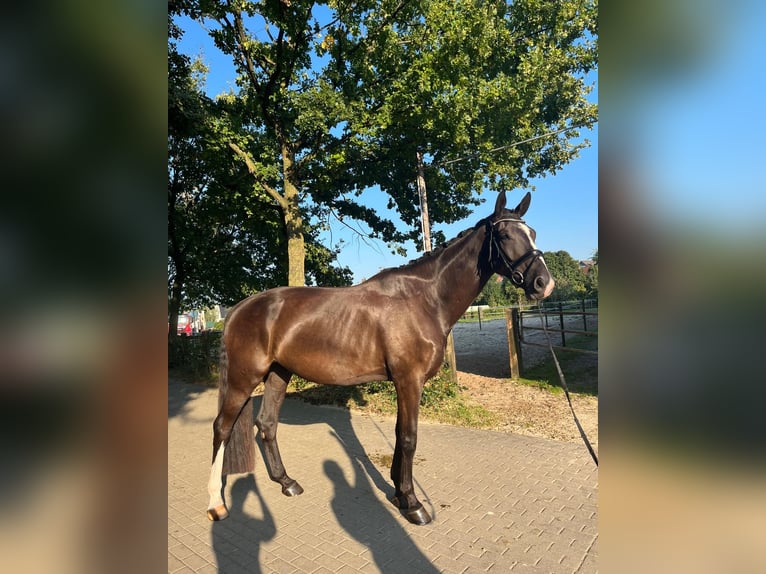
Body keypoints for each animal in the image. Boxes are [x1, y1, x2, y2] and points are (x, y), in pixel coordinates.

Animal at [210, 190, 556, 528]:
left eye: (533, 234)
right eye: (506, 235)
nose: (544, 283)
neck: (424, 300)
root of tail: (239, 309)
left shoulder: (404, 383)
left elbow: (400, 434)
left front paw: (399, 493)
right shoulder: (409, 381)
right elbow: (409, 438)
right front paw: (414, 505)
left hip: (278, 374)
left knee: (267, 424)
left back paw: (286, 482)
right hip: (244, 378)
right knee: (222, 428)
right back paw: (216, 504)